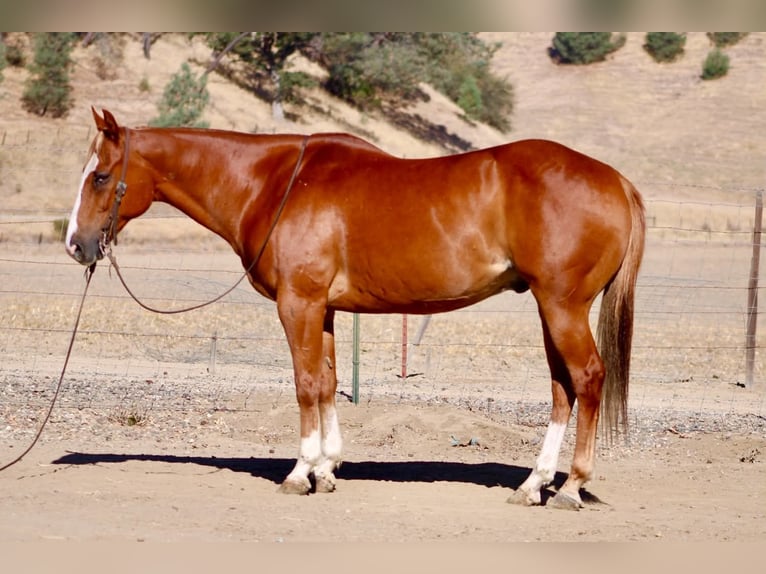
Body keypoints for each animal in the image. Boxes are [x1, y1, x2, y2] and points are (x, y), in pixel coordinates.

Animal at [65, 108, 644, 510]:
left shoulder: (297, 303)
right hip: (551, 309)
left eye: (100, 177)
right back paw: (533, 484)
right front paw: (326, 469)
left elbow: (304, 383)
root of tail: (616, 180)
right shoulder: (320, 308)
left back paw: (570, 487)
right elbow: (326, 381)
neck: (275, 183)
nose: (75, 244)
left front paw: (299, 473)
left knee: (588, 379)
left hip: (562, 306)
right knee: (562, 390)